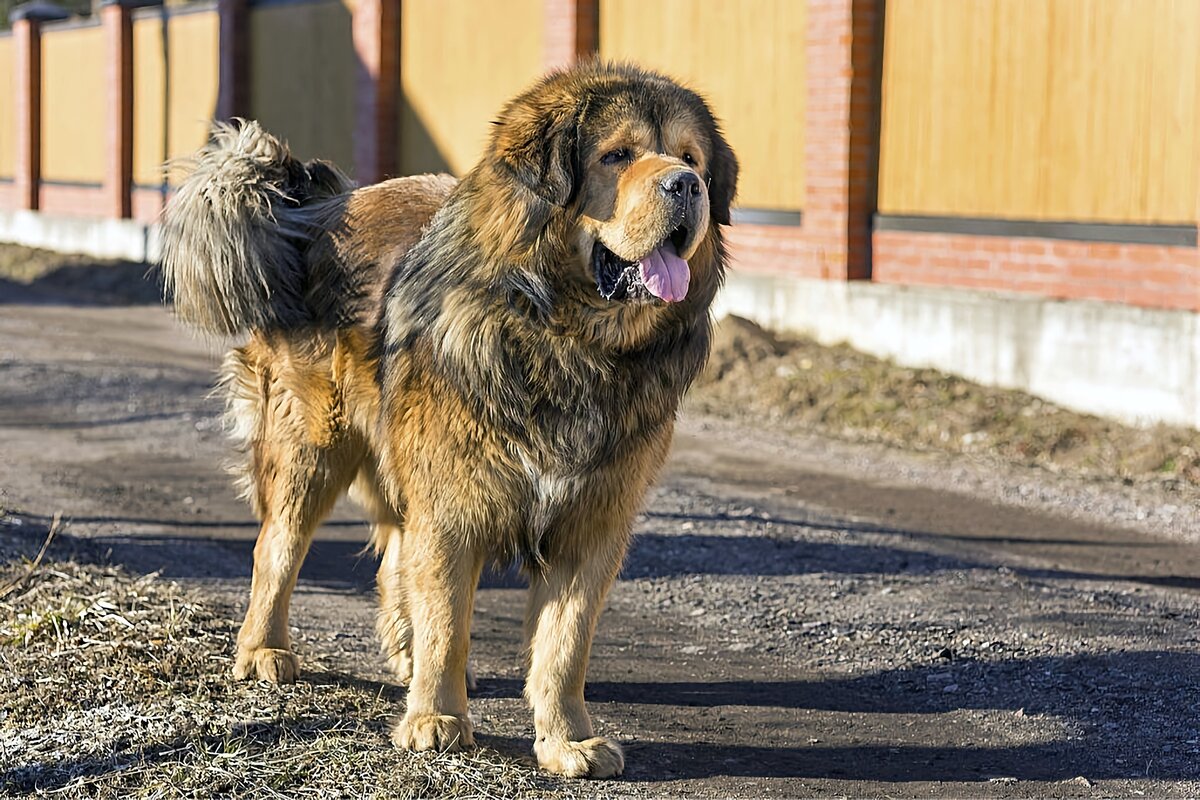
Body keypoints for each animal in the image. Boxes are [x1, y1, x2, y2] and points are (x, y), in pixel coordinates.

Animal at [162, 64, 729, 782]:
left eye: (691, 159)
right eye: (618, 155)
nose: (686, 185)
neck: (567, 341)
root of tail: (320, 208)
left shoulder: (593, 520)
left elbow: (564, 644)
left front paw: (565, 740)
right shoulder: (454, 500)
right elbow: (450, 621)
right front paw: (437, 719)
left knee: (393, 562)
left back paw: (404, 657)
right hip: (312, 448)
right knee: (278, 549)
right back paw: (266, 650)